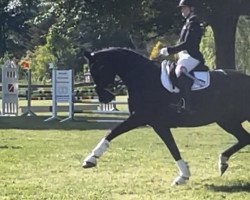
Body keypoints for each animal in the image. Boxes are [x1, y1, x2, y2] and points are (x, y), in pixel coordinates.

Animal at [82, 47, 250, 186]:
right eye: (90, 71)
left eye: (99, 68)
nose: (104, 98)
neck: (144, 78)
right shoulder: (156, 124)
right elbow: (172, 148)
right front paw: (183, 176)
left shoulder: (142, 118)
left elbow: (113, 132)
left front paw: (90, 159)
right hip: (227, 121)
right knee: (244, 138)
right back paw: (222, 162)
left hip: (229, 120)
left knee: (244, 138)